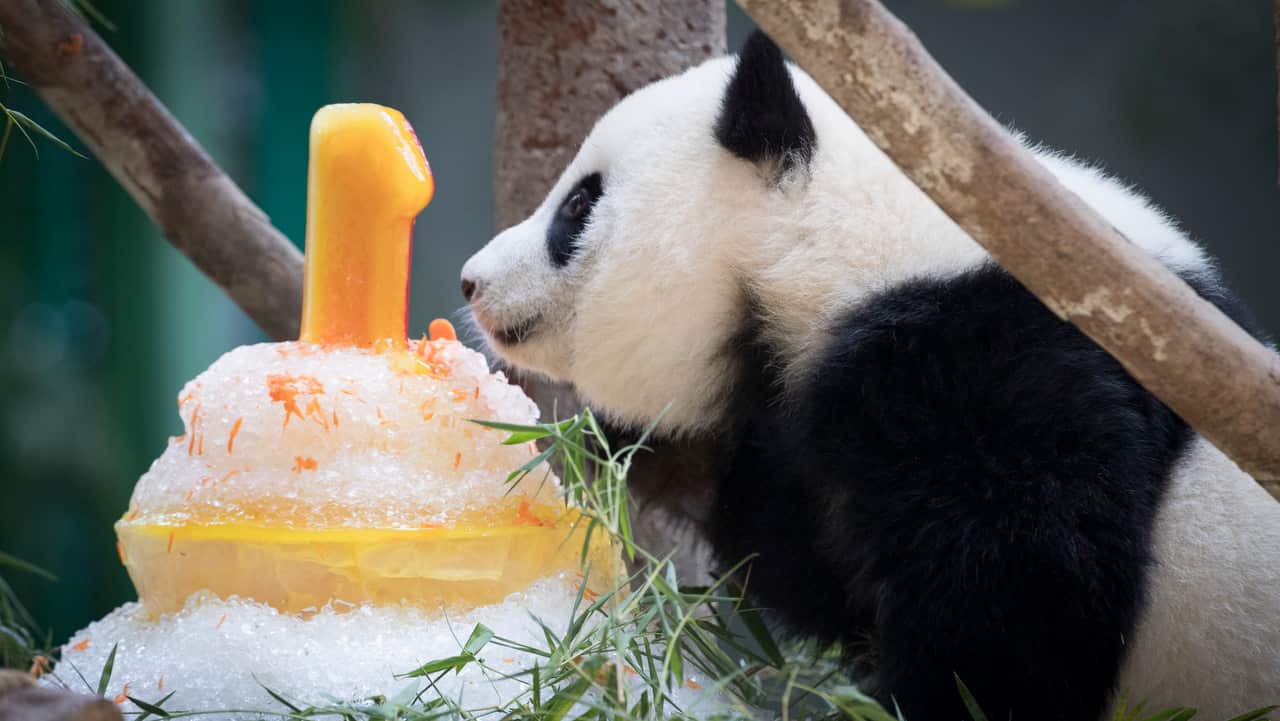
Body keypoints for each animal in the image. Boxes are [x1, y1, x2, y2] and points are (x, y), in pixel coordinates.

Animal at [461, 31, 1280, 721]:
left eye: (578, 203)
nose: (473, 282)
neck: (843, 245)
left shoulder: (990, 373)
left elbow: (1022, 609)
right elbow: (819, 575)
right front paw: (646, 453)